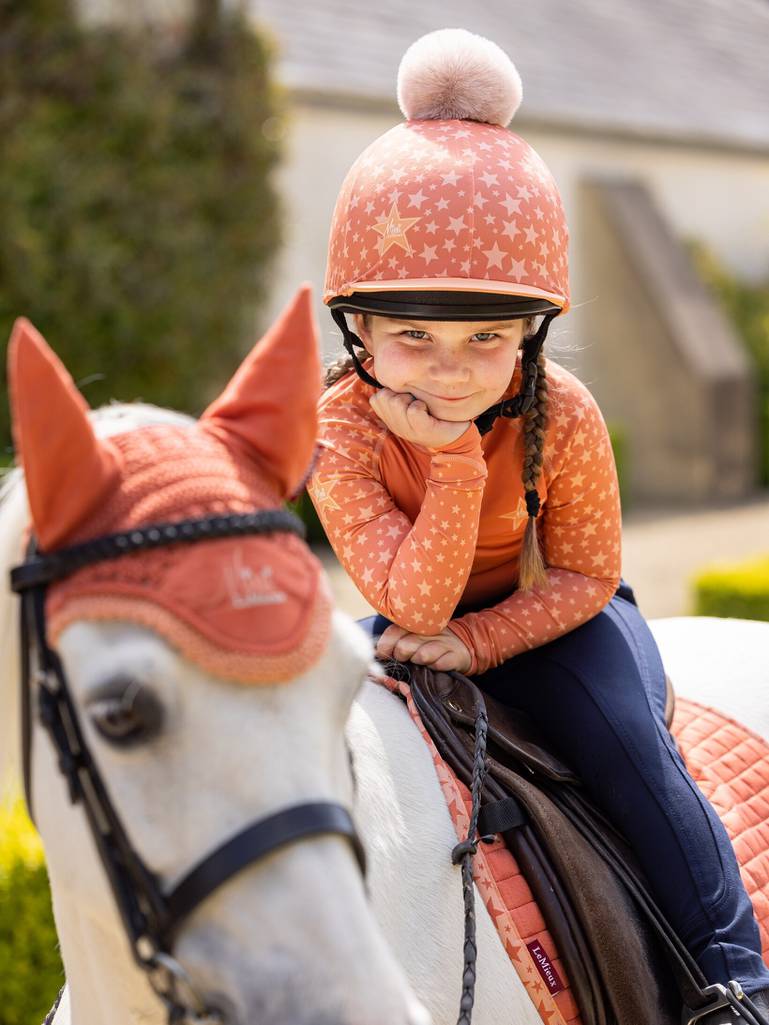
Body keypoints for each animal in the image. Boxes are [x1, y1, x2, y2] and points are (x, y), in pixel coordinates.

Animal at [1, 289, 769, 1025]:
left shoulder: (574, 418)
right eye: (118, 714)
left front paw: (449, 639)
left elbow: (582, 573)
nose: (350, 1006)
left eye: (341, 686)